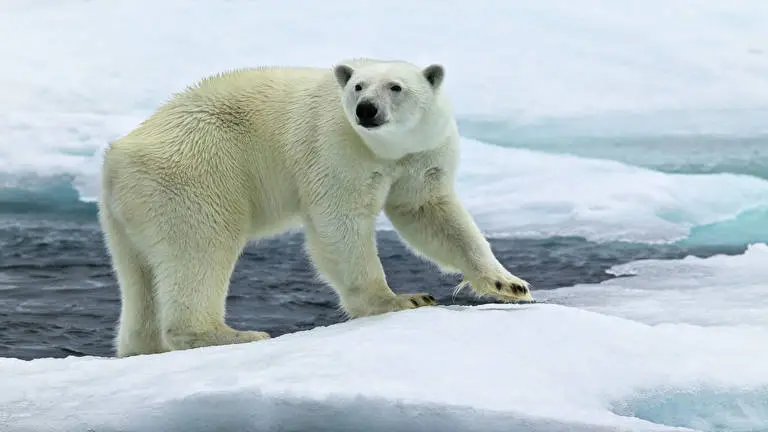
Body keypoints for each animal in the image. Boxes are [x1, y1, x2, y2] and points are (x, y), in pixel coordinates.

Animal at [98, 58, 533, 358]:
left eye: (396, 87)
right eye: (358, 86)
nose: (366, 110)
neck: (385, 149)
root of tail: (116, 159)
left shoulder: (420, 156)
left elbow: (430, 212)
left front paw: (509, 284)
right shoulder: (335, 145)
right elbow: (340, 220)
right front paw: (402, 299)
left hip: (126, 216)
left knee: (140, 276)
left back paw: (142, 347)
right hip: (197, 174)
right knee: (202, 247)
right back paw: (231, 334)